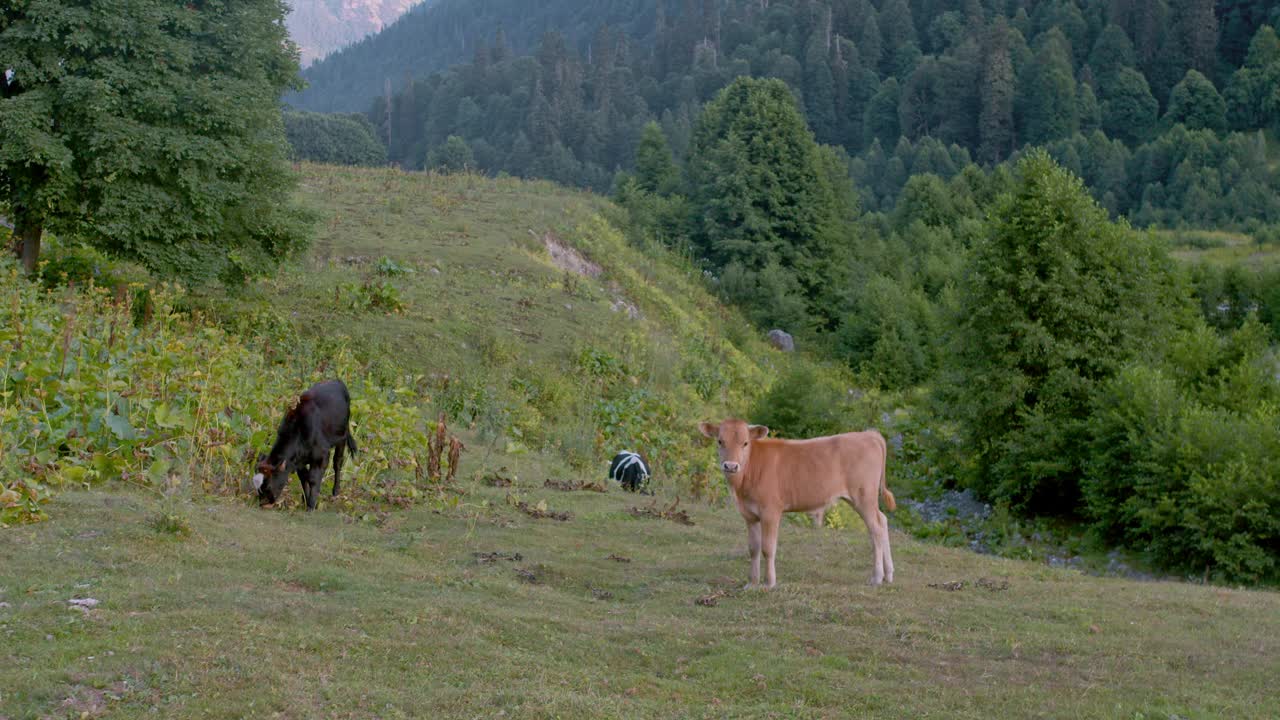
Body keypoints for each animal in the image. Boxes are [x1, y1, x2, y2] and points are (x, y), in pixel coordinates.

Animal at [252, 379, 358, 507]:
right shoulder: (298, 460)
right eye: (258, 488)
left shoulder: (321, 455)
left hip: (342, 437)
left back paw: (336, 491)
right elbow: (304, 477)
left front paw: (311, 505)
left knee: (337, 462)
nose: (263, 503)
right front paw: (305, 499)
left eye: (267, 486)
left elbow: (313, 479)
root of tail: (337, 381)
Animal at [696, 417, 896, 586]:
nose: (731, 466)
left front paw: (769, 583)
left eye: (745, 443)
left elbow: (768, 548)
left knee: (876, 529)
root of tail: (868, 434)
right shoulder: (749, 514)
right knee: (883, 520)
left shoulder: (771, 511)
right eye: (720, 441)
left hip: (863, 496)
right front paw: (752, 583)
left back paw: (877, 577)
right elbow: (753, 548)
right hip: (862, 498)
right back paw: (888, 574)